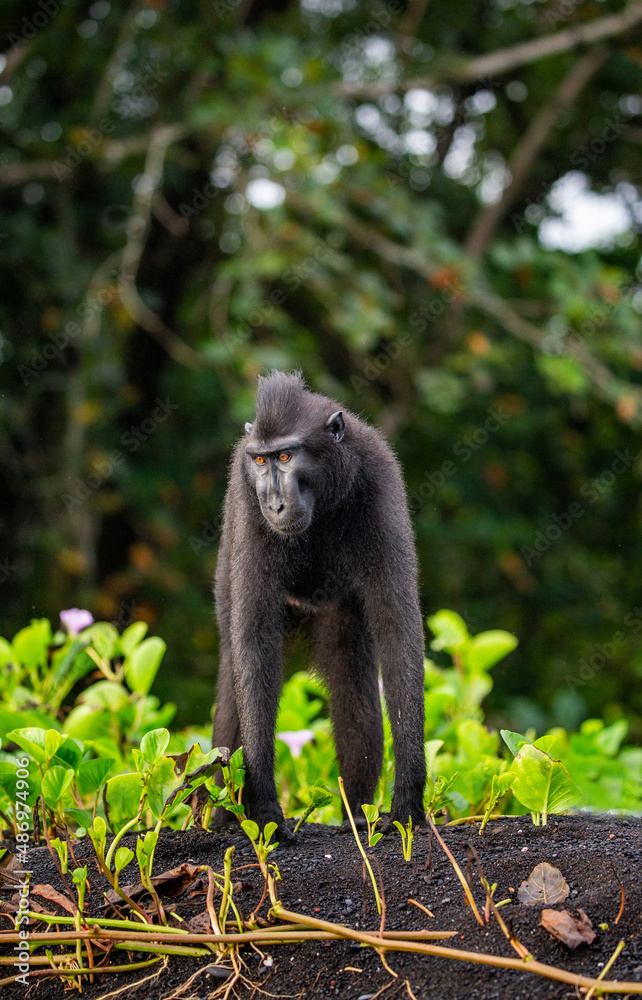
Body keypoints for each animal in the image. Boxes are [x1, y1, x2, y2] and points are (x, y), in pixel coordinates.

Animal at [211, 371, 426, 841]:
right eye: (260, 462)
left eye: (286, 455)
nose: (274, 503)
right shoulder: (247, 501)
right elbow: (253, 644)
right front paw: (264, 807)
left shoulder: (379, 481)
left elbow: (396, 629)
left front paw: (408, 800)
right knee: (234, 692)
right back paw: (220, 822)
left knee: (353, 688)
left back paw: (356, 813)